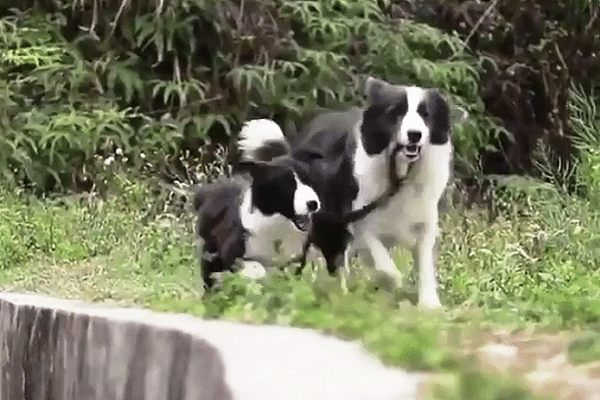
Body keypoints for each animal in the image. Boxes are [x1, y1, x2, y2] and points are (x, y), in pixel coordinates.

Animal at [193, 119, 324, 288]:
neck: (278, 225)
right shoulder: (235, 250)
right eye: (287, 185)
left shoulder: (294, 258)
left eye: (308, 180)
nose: (312, 203)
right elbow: (254, 266)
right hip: (210, 252)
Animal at [292, 76, 452, 308]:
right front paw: (388, 285)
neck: (399, 175)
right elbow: (385, 267)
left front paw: (429, 304)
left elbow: (425, 266)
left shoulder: (425, 223)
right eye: (396, 112)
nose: (415, 135)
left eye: (426, 114)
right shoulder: (359, 224)